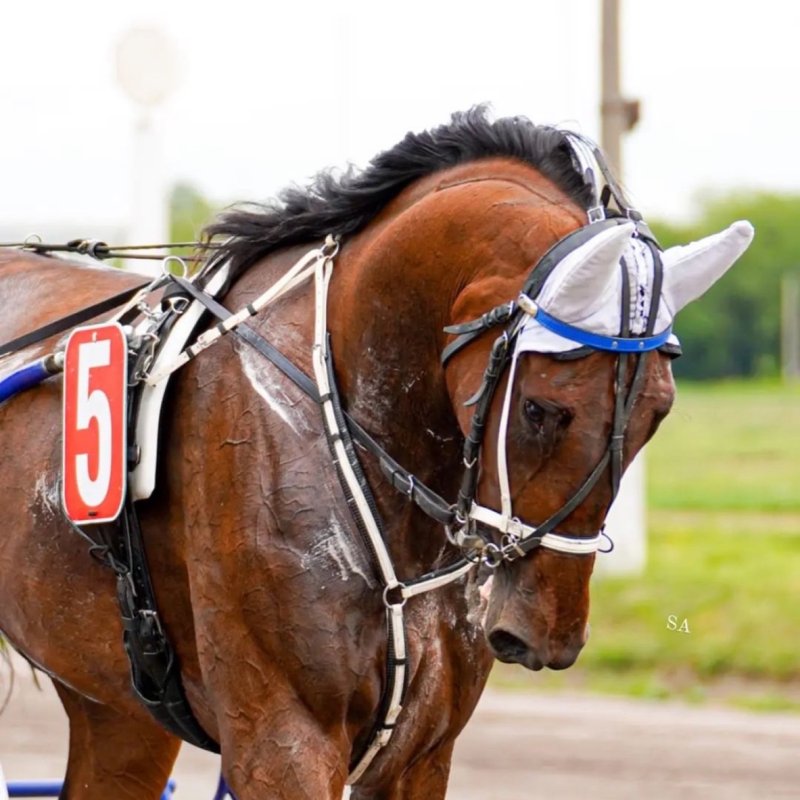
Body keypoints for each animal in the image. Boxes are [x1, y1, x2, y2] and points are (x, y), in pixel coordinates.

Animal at [0, 108, 752, 800]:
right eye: (540, 409)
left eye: (658, 412)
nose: (546, 636)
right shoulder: (281, 739)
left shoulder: (421, 750)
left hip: (118, 708)